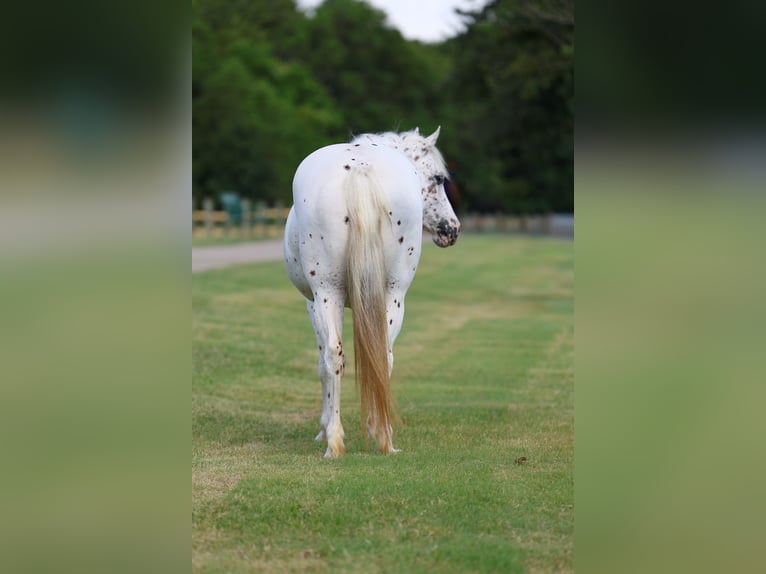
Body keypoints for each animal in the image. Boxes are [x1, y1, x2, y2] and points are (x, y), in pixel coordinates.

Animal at [284, 127, 460, 458]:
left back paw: (334, 441)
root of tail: (360, 167)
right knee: (382, 356)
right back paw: (382, 435)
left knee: (334, 355)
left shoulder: (314, 302)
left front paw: (324, 428)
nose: (451, 229)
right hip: (392, 296)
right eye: (439, 178)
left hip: (329, 294)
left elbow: (323, 364)